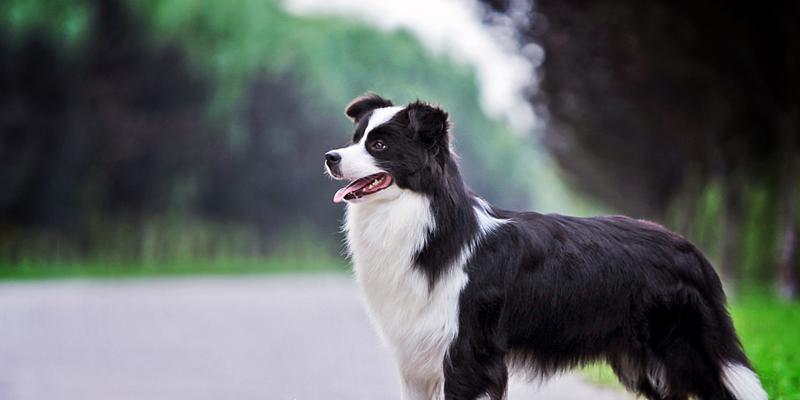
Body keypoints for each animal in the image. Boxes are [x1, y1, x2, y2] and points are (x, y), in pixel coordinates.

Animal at [324, 94, 768, 400]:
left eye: (379, 146)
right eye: (354, 138)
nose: (330, 157)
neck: (422, 219)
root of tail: (691, 250)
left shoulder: (467, 351)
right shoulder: (416, 356)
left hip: (685, 348)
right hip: (643, 360)